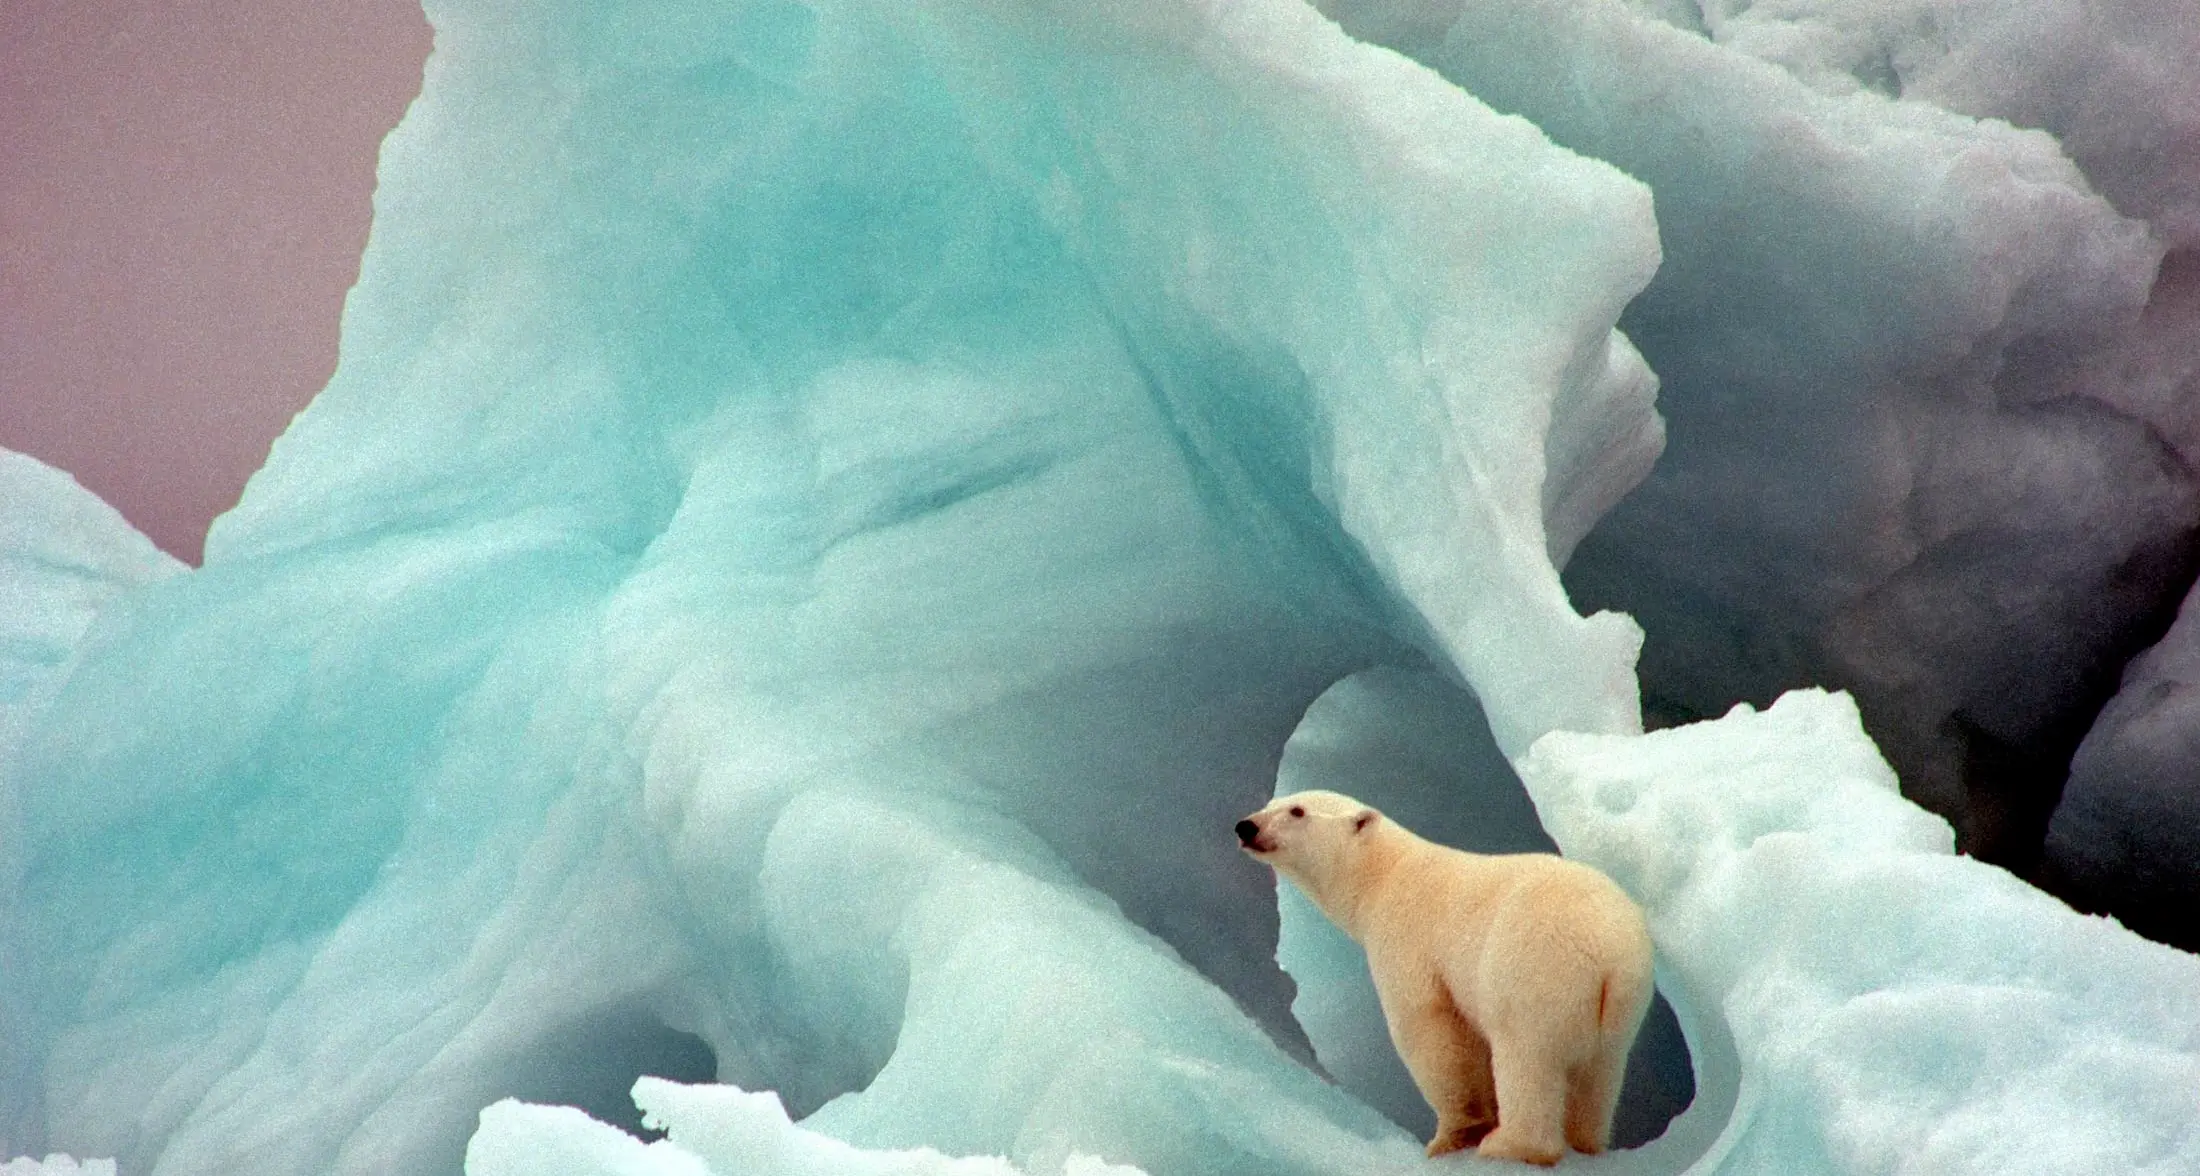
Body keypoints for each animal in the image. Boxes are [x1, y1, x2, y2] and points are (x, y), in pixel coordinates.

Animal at [1237, 789, 1653, 1166]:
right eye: (1271, 803)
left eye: (1297, 810)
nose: (1246, 826)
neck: (1385, 874)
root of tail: (1610, 954)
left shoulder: (1408, 939)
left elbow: (1431, 1029)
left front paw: (1453, 1136)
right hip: (1620, 1009)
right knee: (1598, 1074)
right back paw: (1586, 1143)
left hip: (1534, 972)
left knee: (1526, 1056)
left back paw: (1509, 1145)